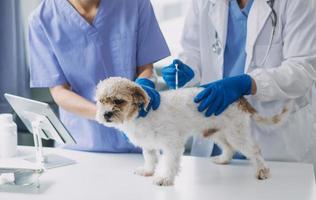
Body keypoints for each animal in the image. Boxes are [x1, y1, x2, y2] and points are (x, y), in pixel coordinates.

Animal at [95, 77, 290, 186]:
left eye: (118, 101)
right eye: (101, 101)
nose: (106, 114)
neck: (141, 115)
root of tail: (239, 98)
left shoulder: (172, 145)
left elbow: (169, 163)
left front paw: (165, 178)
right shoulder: (149, 146)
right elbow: (150, 159)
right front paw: (148, 171)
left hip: (237, 134)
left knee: (255, 150)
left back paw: (262, 171)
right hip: (219, 133)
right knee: (229, 149)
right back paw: (223, 160)